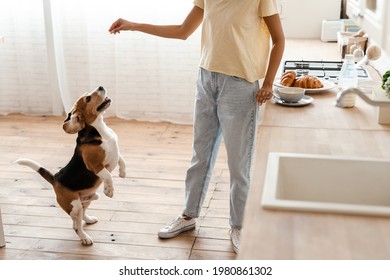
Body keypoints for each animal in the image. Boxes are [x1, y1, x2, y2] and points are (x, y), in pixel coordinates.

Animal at [14, 86, 125, 245]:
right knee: (76, 225)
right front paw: (109, 190)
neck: (100, 129)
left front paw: (123, 173)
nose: (101, 87)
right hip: (74, 205)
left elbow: (122, 160)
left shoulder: (116, 152)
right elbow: (108, 175)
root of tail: (55, 178)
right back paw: (85, 238)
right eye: (88, 98)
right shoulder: (95, 166)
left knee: (82, 214)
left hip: (86, 199)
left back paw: (89, 219)